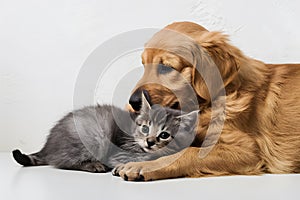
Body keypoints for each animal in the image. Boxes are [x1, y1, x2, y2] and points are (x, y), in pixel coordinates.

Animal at [12, 94, 198, 173]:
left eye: (164, 135)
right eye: (145, 128)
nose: (150, 141)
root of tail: (48, 145)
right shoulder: (122, 152)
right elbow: (148, 157)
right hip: (96, 134)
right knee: (62, 161)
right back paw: (93, 165)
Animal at [113, 21, 300, 181]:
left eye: (166, 67)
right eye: (144, 65)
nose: (133, 102)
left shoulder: (247, 150)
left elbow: (187, 153)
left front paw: (143, 165)